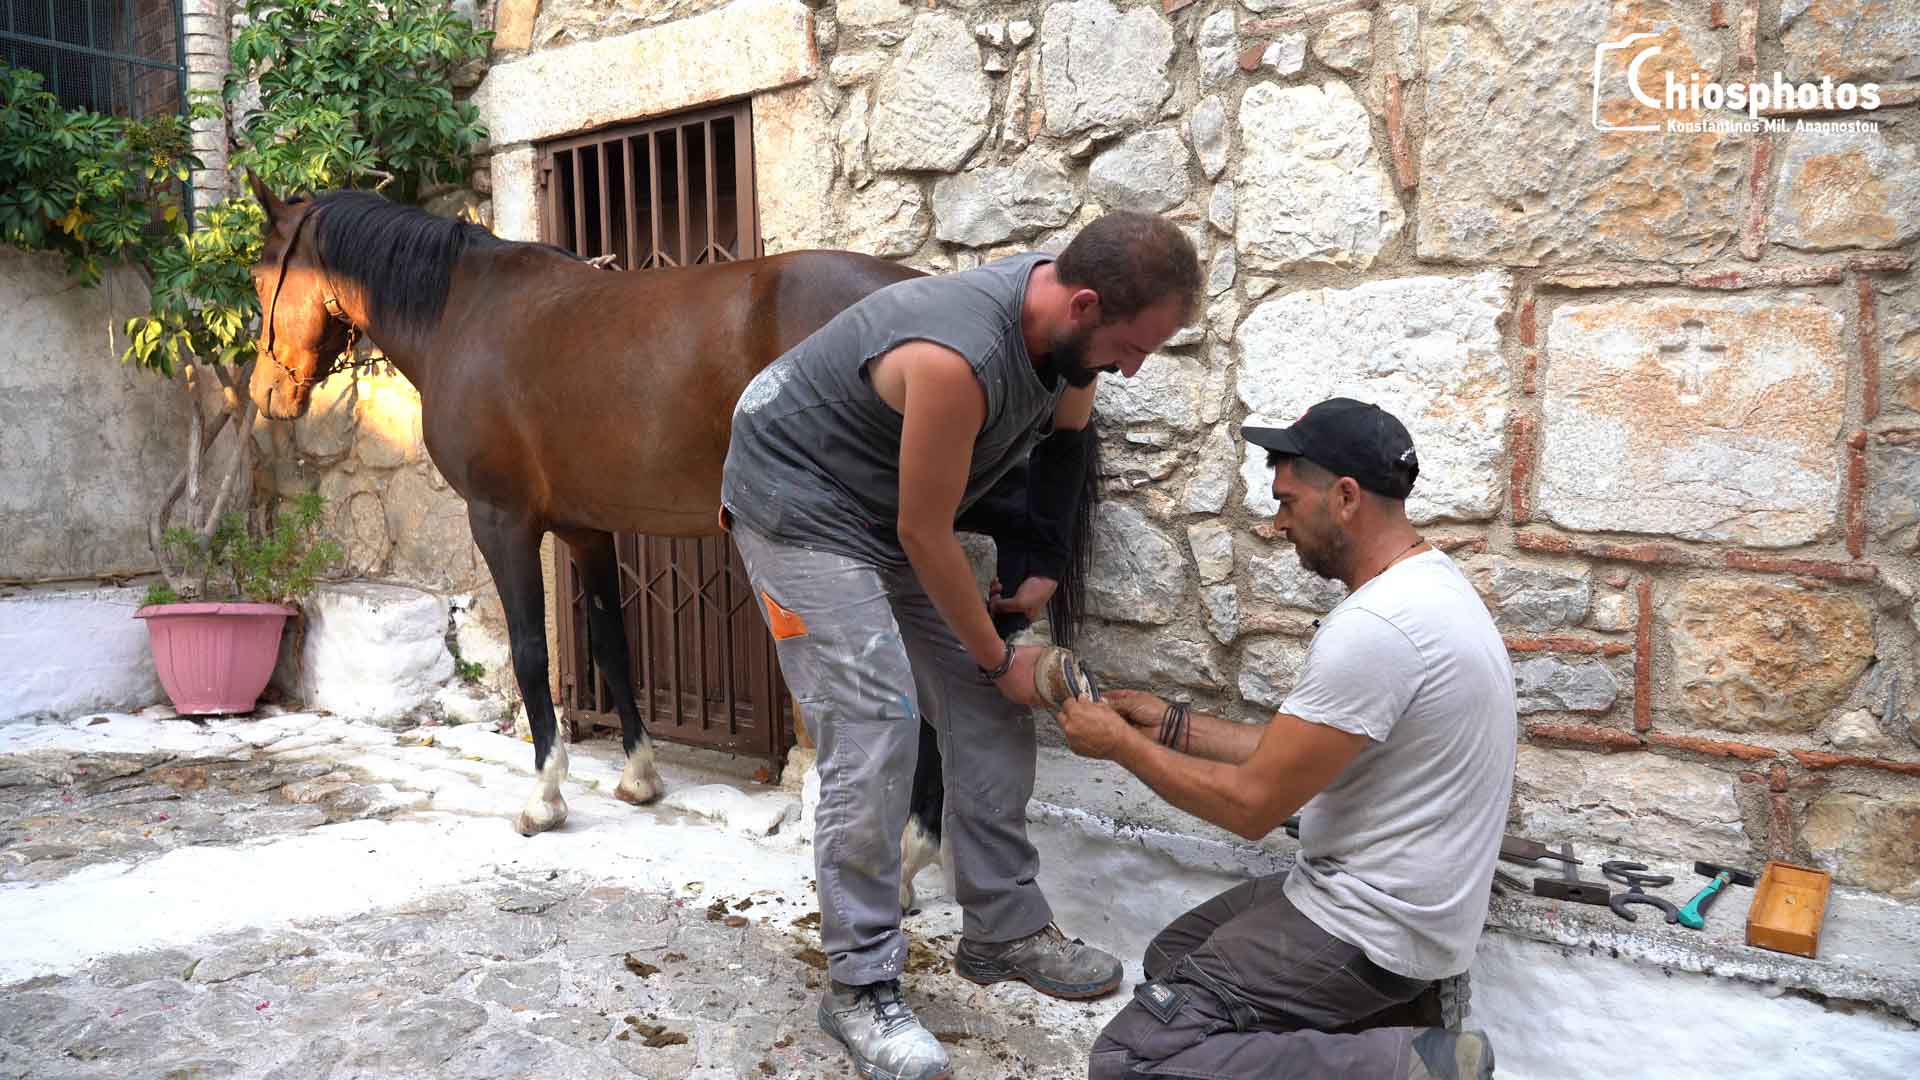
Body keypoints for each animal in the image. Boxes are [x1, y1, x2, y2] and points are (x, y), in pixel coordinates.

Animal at [245, 178, 921, 834]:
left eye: (257, 277)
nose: (263, 393)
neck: (460, 313)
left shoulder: (500, 520)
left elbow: (530, 650)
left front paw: (545, 795)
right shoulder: (587, 530)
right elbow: (613, 646)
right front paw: (640, 776)